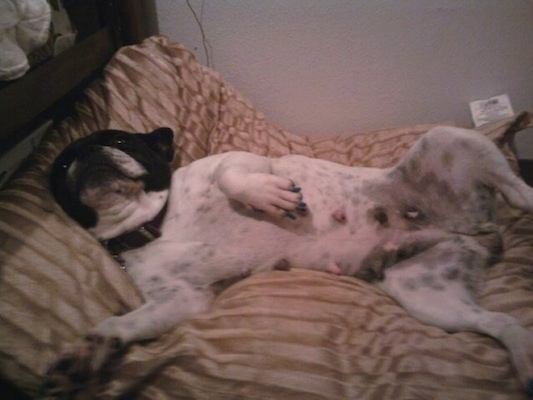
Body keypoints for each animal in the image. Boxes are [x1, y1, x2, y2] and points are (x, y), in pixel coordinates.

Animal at [46, 126, 532, 394]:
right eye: (62, 164)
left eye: (120, 140)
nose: (88, 155)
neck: (156, 221)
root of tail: (474, 229)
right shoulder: (177, 300)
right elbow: (122, 323)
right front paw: (89, 349)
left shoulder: (242, 160)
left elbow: (231, 175)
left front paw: (266, 196)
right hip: (426, 293)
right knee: (503, 323)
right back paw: (525, 363)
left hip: (448, 141)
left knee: (518, 189)